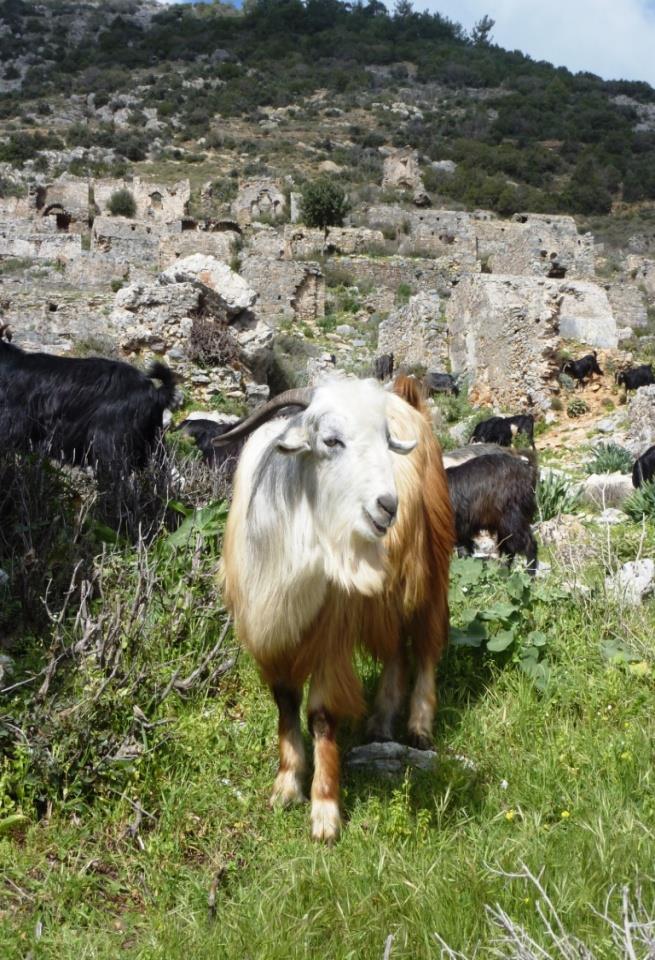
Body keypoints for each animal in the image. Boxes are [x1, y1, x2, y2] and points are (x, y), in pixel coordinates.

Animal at [218, 376, 454, 840]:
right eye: (331, 441)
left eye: (384, 440)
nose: (388, 507)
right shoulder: (270, 631)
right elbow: (285, 705)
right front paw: (286, 785)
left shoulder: (331, 635)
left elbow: (322, 715)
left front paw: (325, 812)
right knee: (396, 649)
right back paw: (380, 723)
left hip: (429, 572)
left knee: (427, 646)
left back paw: (418, 728)